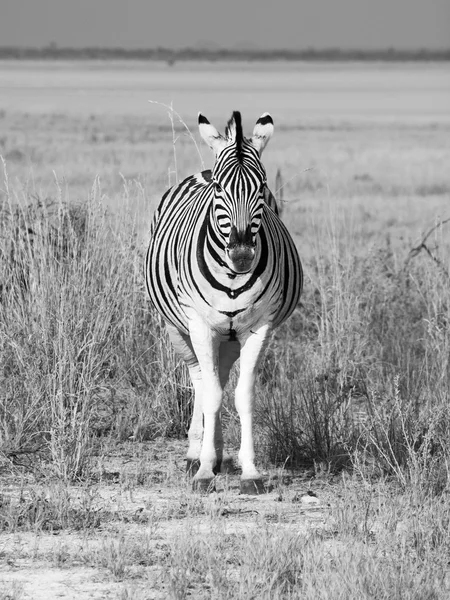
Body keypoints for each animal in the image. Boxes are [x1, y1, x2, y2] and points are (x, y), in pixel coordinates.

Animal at [146, 110, 304, 494]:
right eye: (219, 188)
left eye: (261, 187)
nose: (243, 254)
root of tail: (203, 167)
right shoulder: (200, 325)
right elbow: (213, 394)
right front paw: (203, 471)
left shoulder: (260, 328)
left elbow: (242, 395)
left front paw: (251, 472)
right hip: (177, 328)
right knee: (201, 379)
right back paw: (197, 453)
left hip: (229, 337)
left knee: (218, 374)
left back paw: (216, 453)